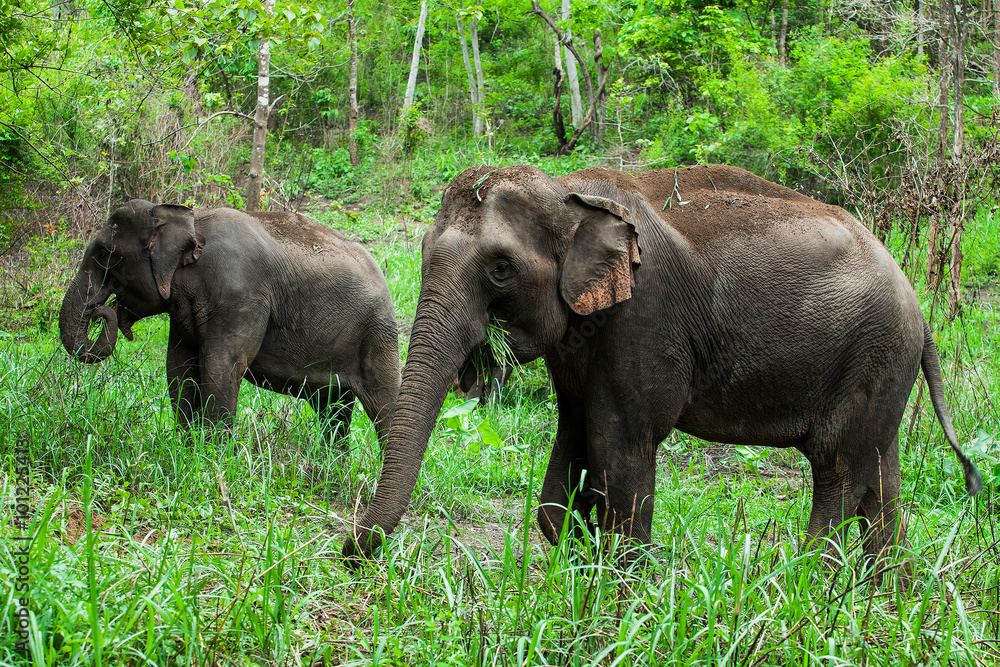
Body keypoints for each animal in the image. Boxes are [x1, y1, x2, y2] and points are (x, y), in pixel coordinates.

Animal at [60, 200, 401, 445]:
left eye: (106, 254)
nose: (101, 310)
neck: (188, 220)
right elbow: (179, 368)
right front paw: (186, 447)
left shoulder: (240, 294)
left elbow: (221, 365)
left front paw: (212, 456)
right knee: (333, 408)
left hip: (378, 334)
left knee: (383, 405)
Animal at [343, 163, 982, 563]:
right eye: (423, 252)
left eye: (500, 269)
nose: (350, 551)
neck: (569, 192)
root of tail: (920, 312)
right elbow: (572, 442)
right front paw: (582, 560)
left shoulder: (644, 320)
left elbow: (622, 441)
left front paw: (622, 593)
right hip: (883, 368)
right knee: (880, 476)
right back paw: (879, 602)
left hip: (870, 354)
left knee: (838, 473)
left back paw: (803, 584)